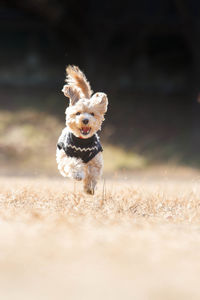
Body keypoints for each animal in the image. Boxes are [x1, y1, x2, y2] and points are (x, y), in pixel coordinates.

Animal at [55, 65, 108, 195]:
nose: (85, 120)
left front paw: (89, 188)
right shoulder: (65, 156)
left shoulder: (95, 159)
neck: (82, 141)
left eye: (92, 114)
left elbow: (93, 173)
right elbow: (72, 163)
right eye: (78, 113)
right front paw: (78, 174)